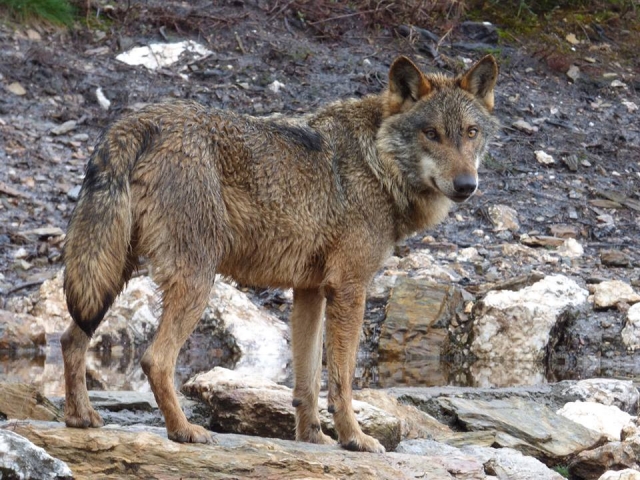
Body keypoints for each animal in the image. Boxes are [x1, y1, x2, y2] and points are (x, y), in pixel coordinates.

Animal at [61, 55, 498, 453]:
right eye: (432, 133)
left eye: (471, 132)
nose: (467, 185)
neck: (376, 163)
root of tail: (137, 121)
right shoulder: (349, 288)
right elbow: (342, 380)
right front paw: (355, 439)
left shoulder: (310, 292)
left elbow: (307, 381)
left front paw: (313, 438)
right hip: (195, 281)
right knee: (155, 359)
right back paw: (184, 431)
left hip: (107, 275)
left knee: (71, 338)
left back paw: (81, 418)